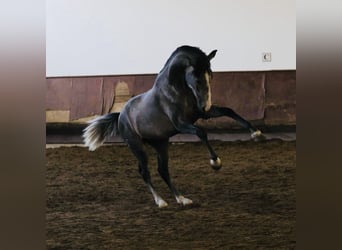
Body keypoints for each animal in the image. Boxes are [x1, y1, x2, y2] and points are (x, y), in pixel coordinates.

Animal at [83, 44, 264, 207]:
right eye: (197, 79)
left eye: (211, 76)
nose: (205, 105)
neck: (176, 90)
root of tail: (120, 115)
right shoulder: (181, 124)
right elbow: (201, 132)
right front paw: (215, 162)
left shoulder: (201, 115)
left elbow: (229, 111)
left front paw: (256, 133)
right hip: (137, 146)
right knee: (145, 172)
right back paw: (160, 201)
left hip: (161, 144)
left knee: (163, 170)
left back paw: (182, 199)